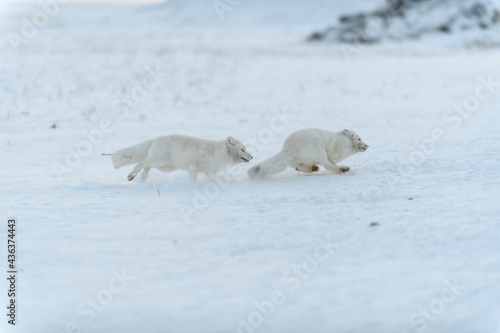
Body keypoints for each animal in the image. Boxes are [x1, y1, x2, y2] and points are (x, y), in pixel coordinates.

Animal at [114, 134, 254, 182]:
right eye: (243, 149)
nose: (252, 156)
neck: (218, 153)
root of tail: (155, 139)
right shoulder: (194, 166)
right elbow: (193, 178)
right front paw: (191, 186)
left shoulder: (209, 171)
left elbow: (218, 178)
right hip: (161, 160)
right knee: (141, 163)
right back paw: (132, 175)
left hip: (165, 166)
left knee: (146, 166)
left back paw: (142, 180)